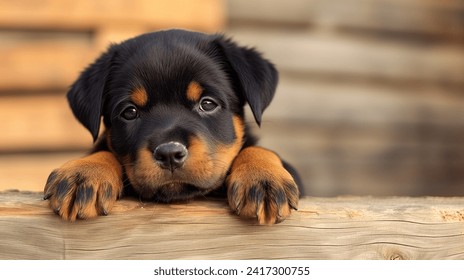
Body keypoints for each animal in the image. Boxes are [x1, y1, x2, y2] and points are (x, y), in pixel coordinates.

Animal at [44, 29, 300, 224]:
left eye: (207, 104)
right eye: (130, 112)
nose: (169, 154)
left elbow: (258, 149)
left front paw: (261, 177)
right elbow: (102, 150)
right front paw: (84, 172)